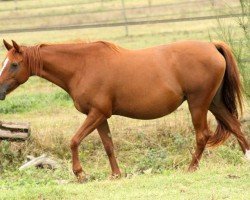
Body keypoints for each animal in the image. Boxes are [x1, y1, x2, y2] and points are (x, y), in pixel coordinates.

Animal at [0, 39, 249, 182]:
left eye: (14, 64)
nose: (0, 91)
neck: (83, 66)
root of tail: (212, 46)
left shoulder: (97, 114)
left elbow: (74, 140)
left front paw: (80, 173)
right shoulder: (100, 117)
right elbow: (108, 146)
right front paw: (116, 175)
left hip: (198, 104)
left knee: (202, 135)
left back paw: (190, 168)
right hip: (214, 103)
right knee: (235, 127)